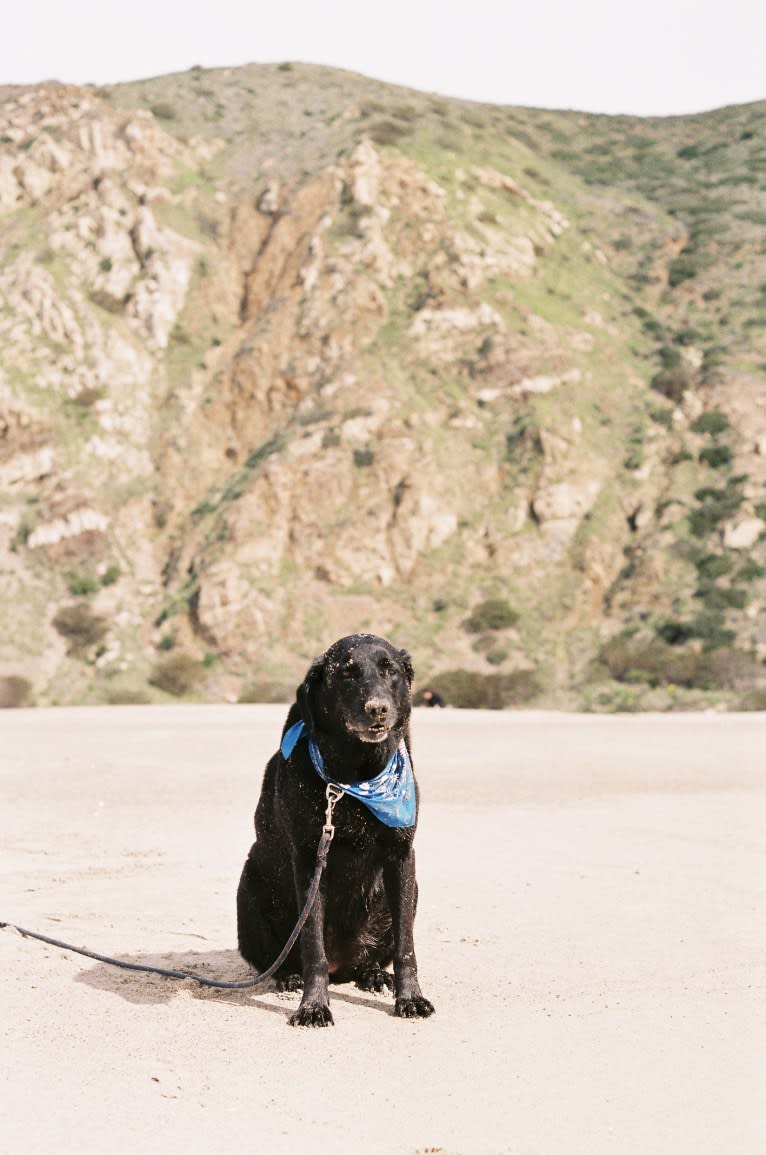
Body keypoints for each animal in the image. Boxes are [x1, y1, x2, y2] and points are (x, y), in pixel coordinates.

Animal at [236, 637, 434, 1025]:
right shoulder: (310, 860)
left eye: (390, 670)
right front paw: (313, 1006)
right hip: (248, 886)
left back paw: (374, 974)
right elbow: (313, 946)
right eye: (345, 672)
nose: (377, 709)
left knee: (370, 960)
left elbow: (406, 946)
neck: (356, 776)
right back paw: (290, 978)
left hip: (410, 890)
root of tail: (342, 967)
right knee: (278, 960)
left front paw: (411, 998)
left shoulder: (402, 854)